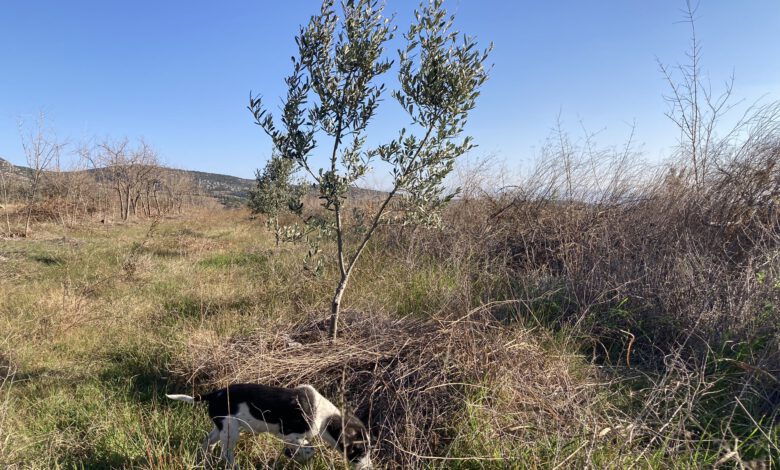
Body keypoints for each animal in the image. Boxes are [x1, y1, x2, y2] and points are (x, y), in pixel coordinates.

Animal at [167, 384, 372, 468]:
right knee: (226, 454)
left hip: (221, 428)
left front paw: (292, 456)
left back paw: (204, 461)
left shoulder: (293, 438)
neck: (325, 416)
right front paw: (297, 456)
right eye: (360, 450)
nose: (369, 467)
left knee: (207, 443)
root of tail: (214, 394)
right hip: (231, 431)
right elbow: (309, 449)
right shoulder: (289, 434)